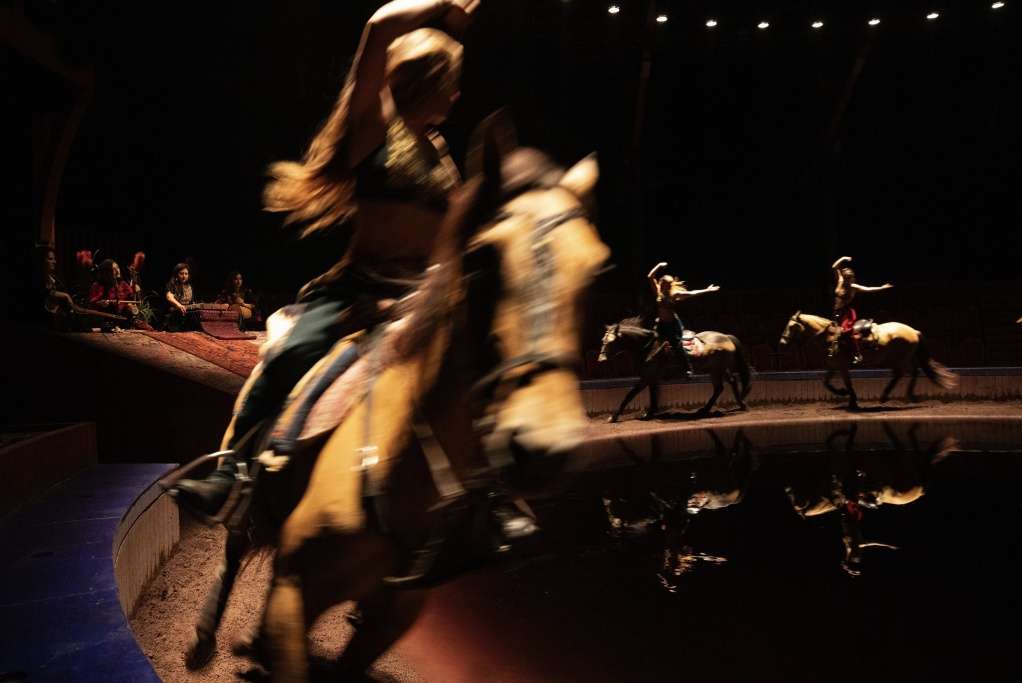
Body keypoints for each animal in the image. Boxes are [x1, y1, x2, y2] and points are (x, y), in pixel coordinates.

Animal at [596, 319, 752, 423]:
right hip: (716, 370)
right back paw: (716, 408)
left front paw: (614, 416)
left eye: (611, 341)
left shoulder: (647, 376)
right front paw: (649, 413)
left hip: (718, 369)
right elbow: (653, 395)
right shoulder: (652, 378)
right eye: (603, 340)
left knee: (726, 384)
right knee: (725, 385)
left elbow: (630, 394)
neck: (649, 347)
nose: (601, 359)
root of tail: (726, 337)